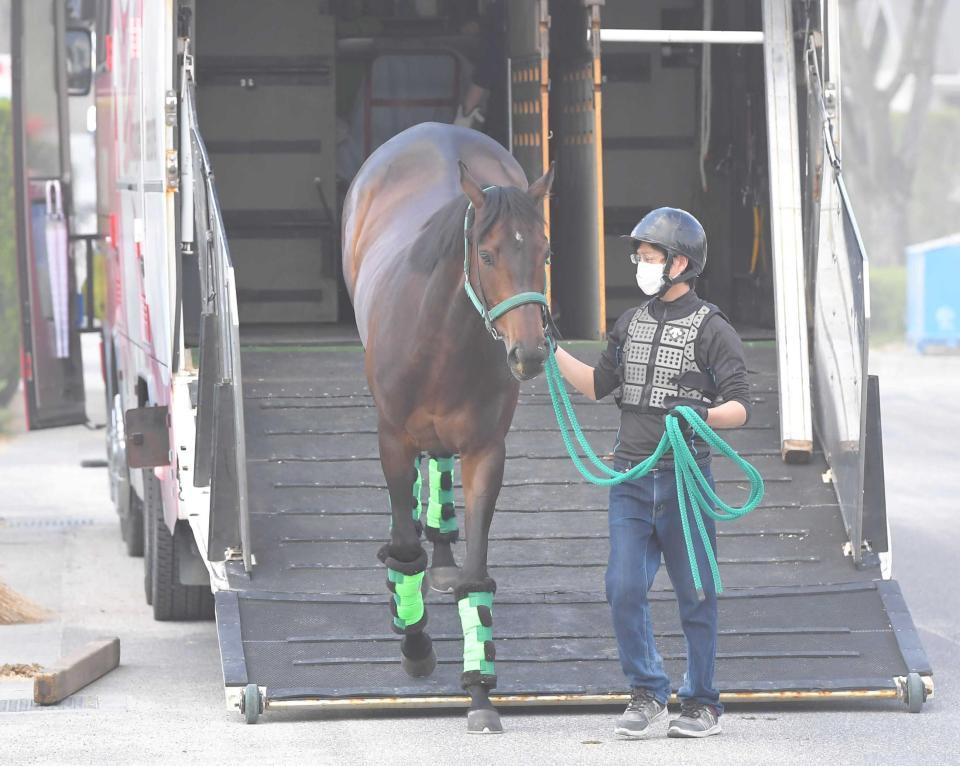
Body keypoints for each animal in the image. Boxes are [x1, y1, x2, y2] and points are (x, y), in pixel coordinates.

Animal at [344, 123, 556, 736]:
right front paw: (415, 645)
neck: (439, 338)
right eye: (486, 254)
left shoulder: (487, 450)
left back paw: (440, 551)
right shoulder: (391, 439)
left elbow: (477, 576)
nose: (530, 354)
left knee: (437, 469)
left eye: (545, 252)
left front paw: (480, 692)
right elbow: (401, 546)